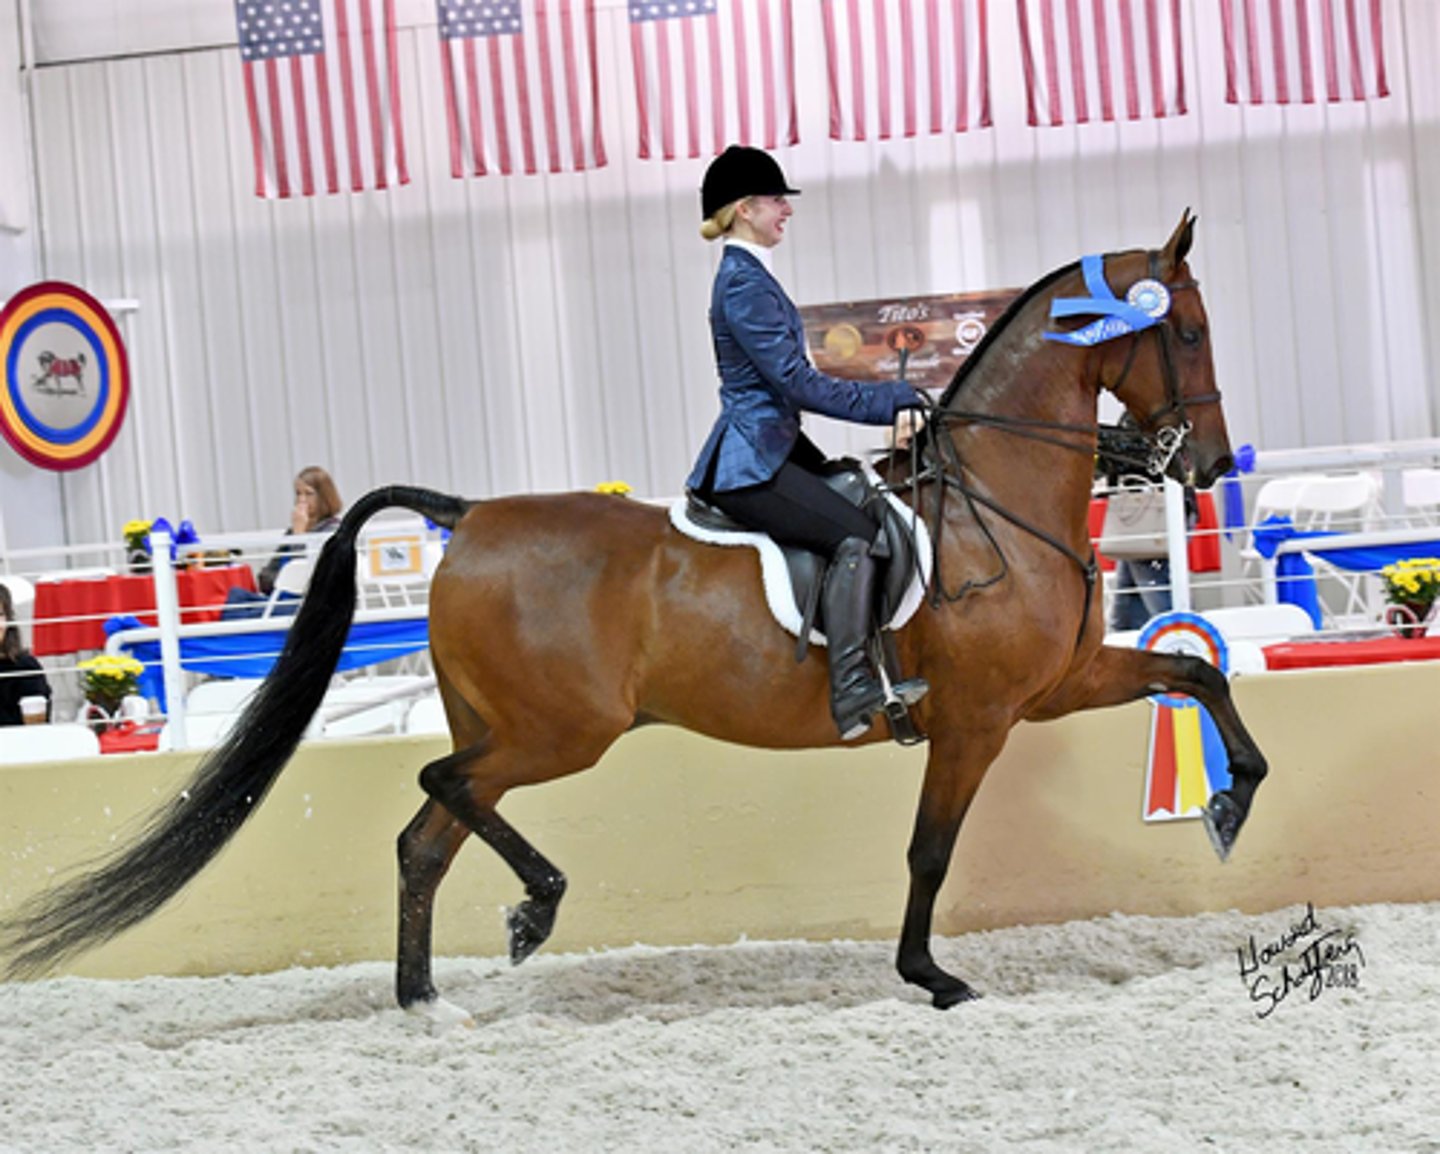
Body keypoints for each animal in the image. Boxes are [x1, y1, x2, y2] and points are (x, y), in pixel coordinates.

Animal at [0, 212, 1266, 1021]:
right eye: (1186, 330)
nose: (1204, 464)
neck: (994, 496)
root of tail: (471, 517)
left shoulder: (1051, 688)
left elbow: (1199, 678)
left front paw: (1229, 805)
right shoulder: (978, 717)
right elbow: (930, 848)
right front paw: (931, 974)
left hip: (506, 725)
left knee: (425, 835)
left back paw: (423, 998)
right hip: (560, 731)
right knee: (441, 791)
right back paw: (532, 912)